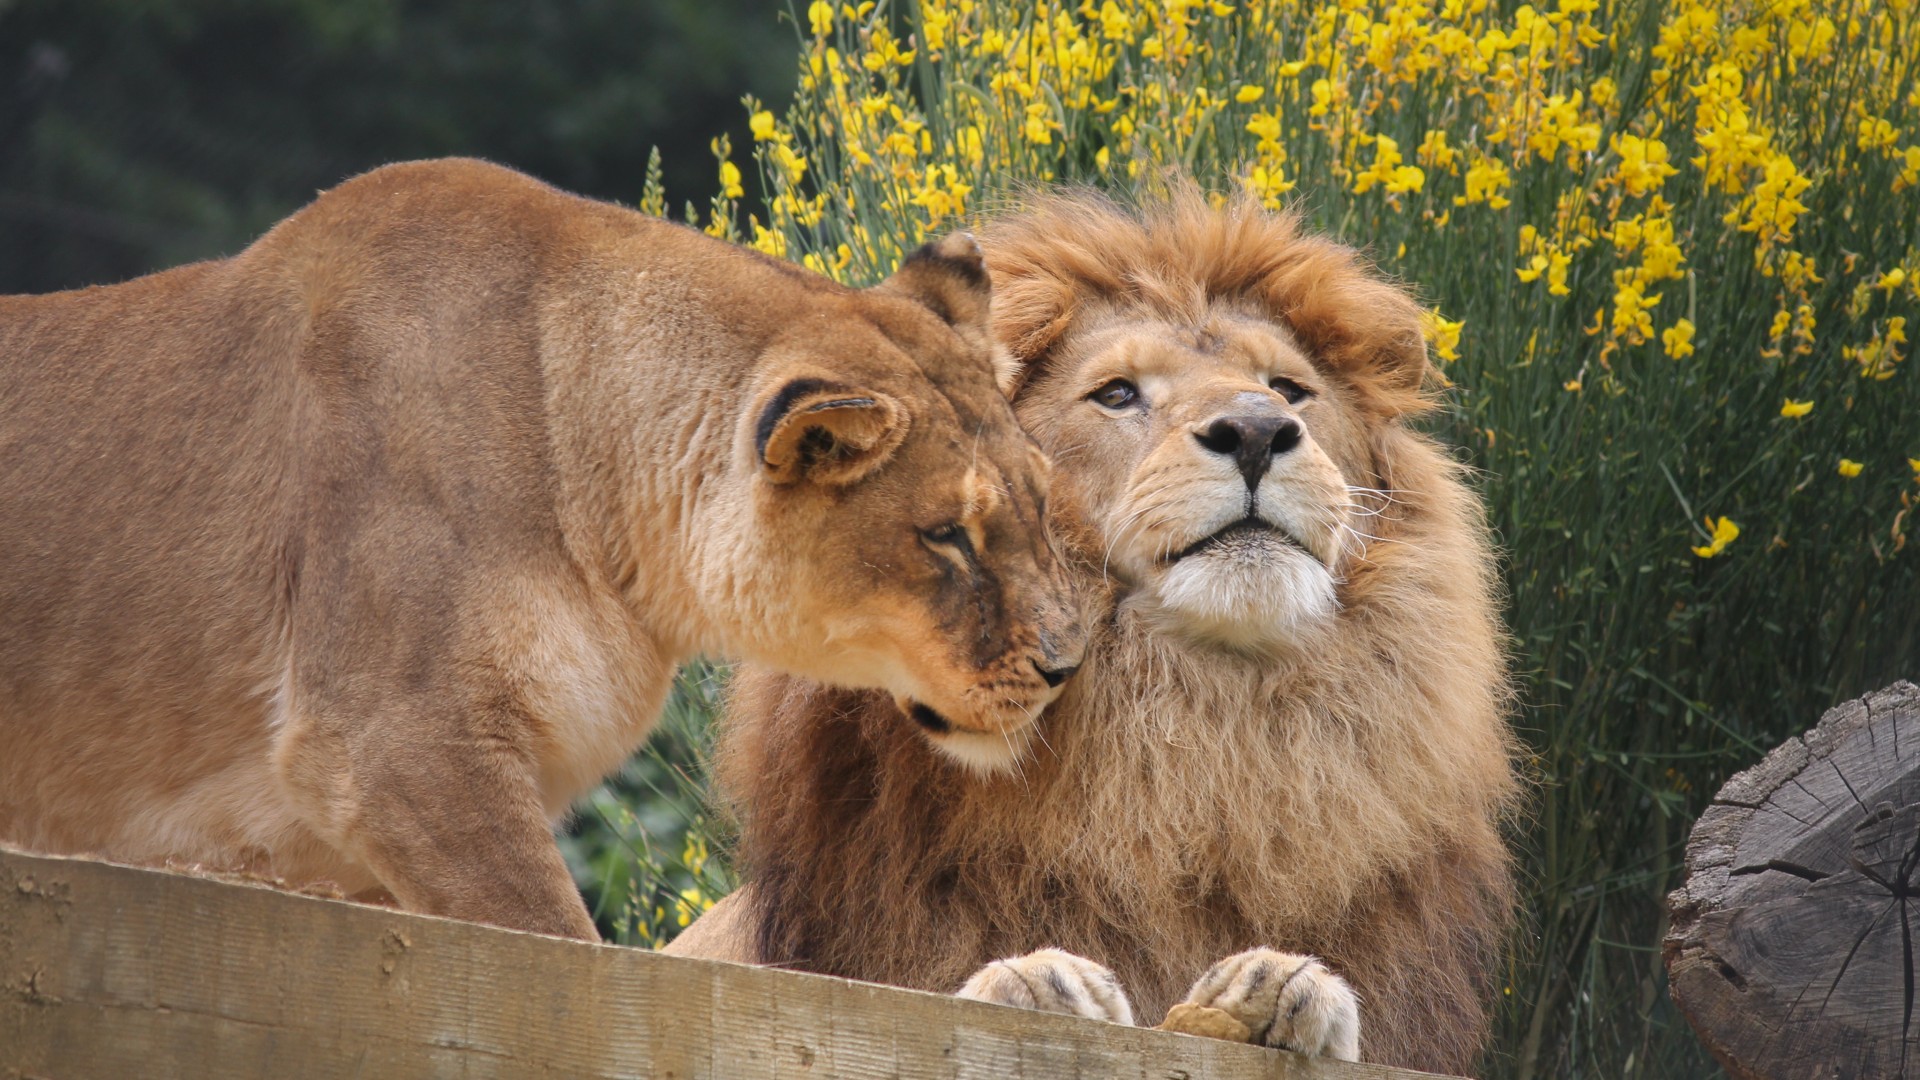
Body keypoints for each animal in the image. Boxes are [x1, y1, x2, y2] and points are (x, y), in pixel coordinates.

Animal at [668, 187, 1520, 1068]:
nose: (1257, 431)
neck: (1195, 725)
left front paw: (1287, 991)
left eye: (1290, 389)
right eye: (1116, 394)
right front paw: (1037, 984)